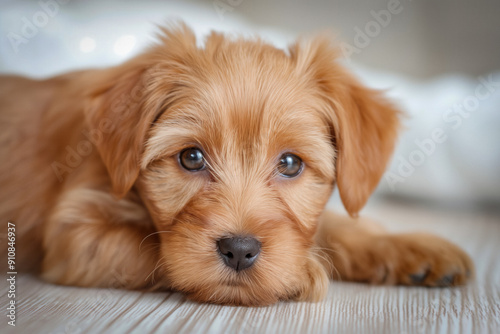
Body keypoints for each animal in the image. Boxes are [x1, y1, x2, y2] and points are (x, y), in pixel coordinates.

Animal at [0, 22, 472, 306]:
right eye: (191, 157)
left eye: (290, 163)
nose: (240, 251)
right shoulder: (75, 235)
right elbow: (149, 245)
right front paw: (303, 272)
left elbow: (327, 227)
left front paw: (402, 245)